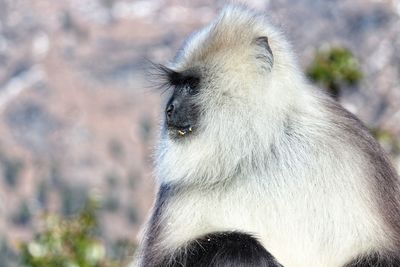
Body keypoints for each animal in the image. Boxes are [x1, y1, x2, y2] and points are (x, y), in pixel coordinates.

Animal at [133, 4, 400, 267]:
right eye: (177, 84)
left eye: (191, 84)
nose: (170, 109)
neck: (260, 148)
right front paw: (247, 252)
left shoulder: (355, 148)